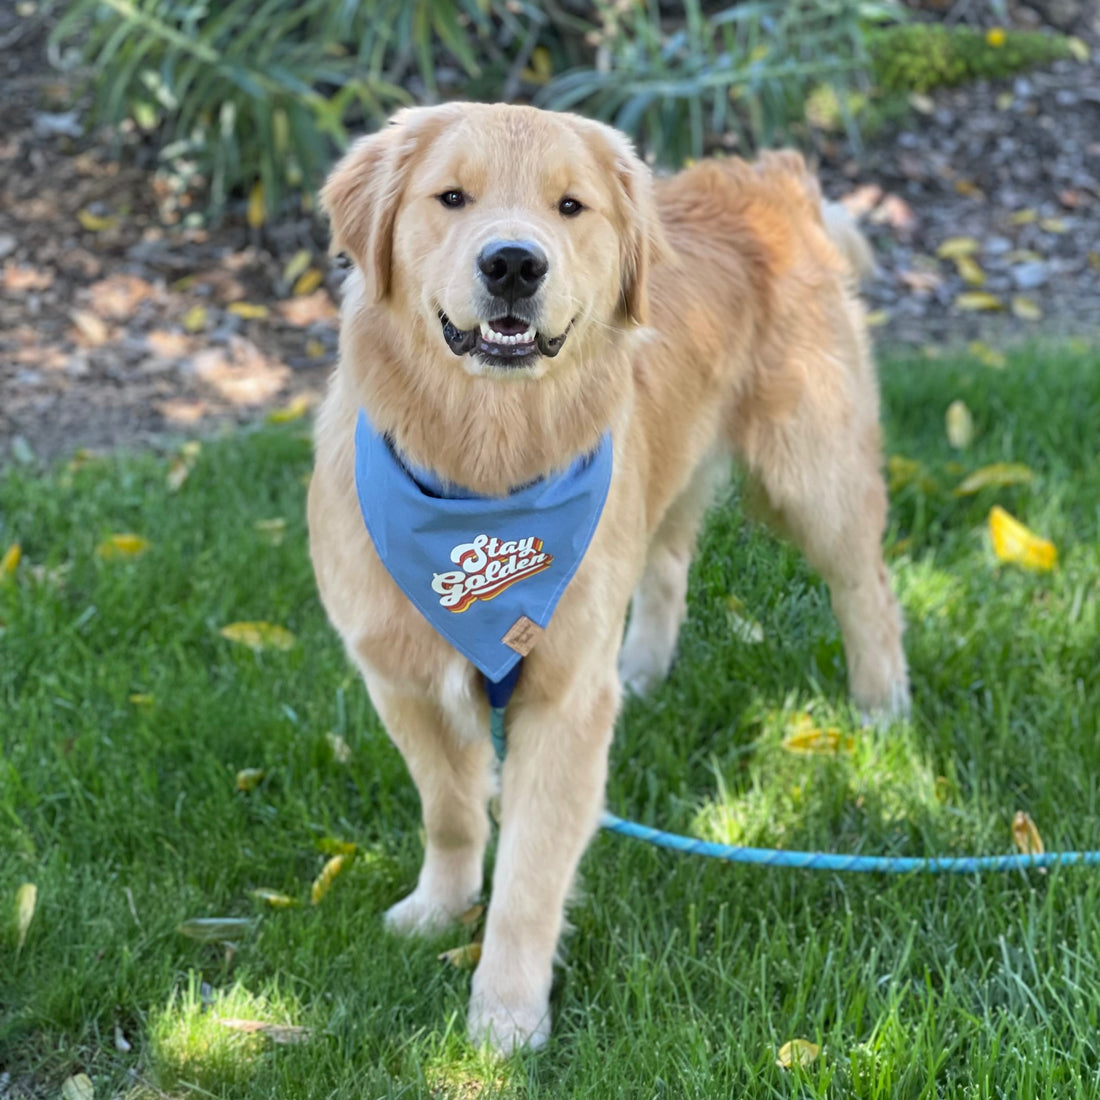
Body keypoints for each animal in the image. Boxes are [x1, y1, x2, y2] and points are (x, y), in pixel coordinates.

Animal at [310, 105, 910, 1056]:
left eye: (570, 206)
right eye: (452, 197)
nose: (513, 264)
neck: (483, 473)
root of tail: (768, 176)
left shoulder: (561, 706)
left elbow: (529, 877)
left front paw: (507, 1015)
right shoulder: (400, 678)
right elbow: (451, 812)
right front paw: (440, 910)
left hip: (813, 473)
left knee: (868, 591)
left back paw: (882, 708)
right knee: (668, 563)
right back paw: (645, 671)